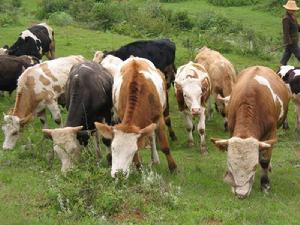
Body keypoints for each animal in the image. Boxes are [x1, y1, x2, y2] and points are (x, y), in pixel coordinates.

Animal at [210, 65, 290, 199]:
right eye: (230, 166)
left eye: (254, 167)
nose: (240, 194)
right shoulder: (231, 130)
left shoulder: (271, 133)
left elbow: (264, 160)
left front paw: (265, 184)